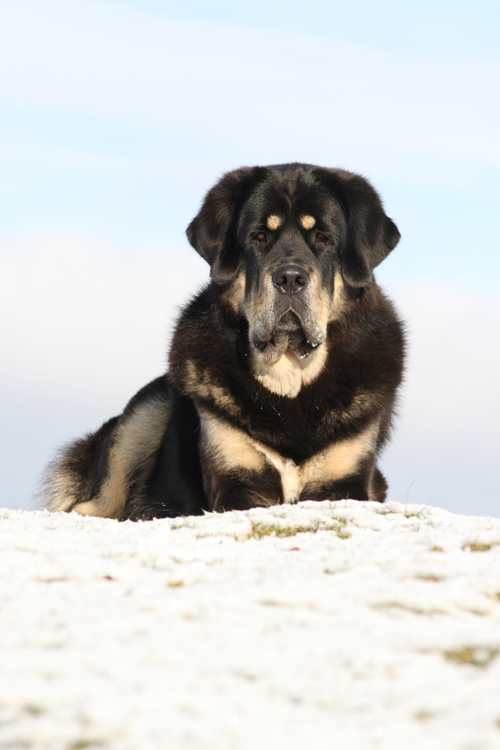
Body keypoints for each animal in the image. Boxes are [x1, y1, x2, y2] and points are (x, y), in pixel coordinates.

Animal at [44, 163, 406, 524]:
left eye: (322, 237)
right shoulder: (235, 476)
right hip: (146, 411)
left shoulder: (342, 478)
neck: (289, 377)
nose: (290, 278)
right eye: (259, 237)